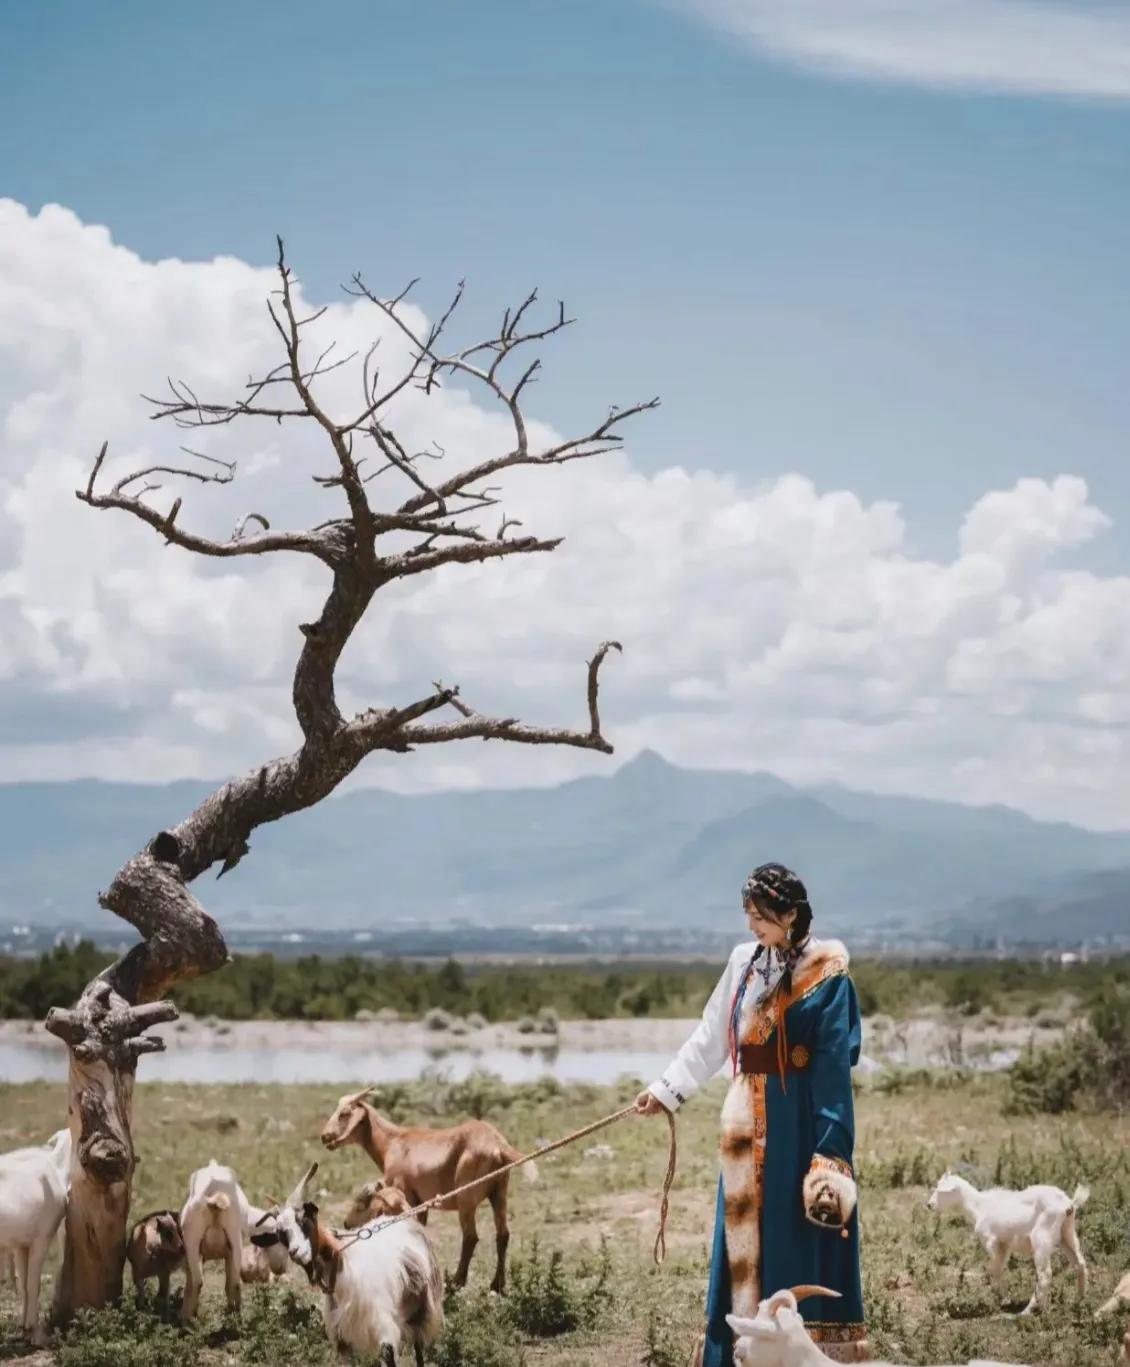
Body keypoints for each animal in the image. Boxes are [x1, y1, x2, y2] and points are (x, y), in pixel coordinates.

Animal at [0, 1131, 71, 1345]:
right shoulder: (41, 1239)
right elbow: (34, 1285)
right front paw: (37, 1334)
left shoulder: (22, 1245)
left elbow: (24, 1285)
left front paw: (25, 1329)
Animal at [177, 1159, 248, 1317]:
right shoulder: (229, 1253)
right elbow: (228, 1284)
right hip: (236, 1241)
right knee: (235, 1283)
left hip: (193, 1242)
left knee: (197, 1282)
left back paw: (188, 1318)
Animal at [315, 1088, 532, 1290]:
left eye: (344, 1113)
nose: (325, 1137)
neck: (393, 1141)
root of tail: (498, 1145)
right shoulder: (421, 1202)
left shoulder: (406, 1194)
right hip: (499, 1191)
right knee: (503, 1235)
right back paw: (497, 1285)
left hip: (466, 1197)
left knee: (471, 1237)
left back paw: (457, 1282)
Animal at [929, 1170, 1087, 1306]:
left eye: (940, 1190)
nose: (929, 1204)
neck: (978, 1206)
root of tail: (1069, 1204)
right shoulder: (1004, 1244)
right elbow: (999, 1268)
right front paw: (1003, 1297)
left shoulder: (991, 1242)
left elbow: (996, 1269)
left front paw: (1001, 1298)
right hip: (1067, 1234)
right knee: (1080, 1264)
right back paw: (1079, 1300)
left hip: (1041, 1237)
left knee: (1045, 1274)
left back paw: (1031, 1309)